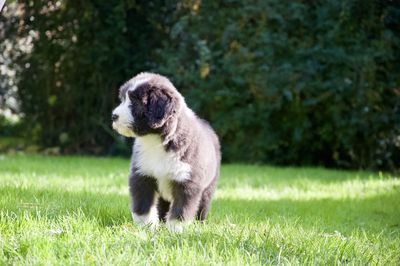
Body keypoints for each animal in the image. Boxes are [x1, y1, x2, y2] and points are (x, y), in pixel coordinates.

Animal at [111, 72, 220, 231]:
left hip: (209, 187)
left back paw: (200, 225)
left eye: (135, 101)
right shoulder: (142, 175)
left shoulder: (187, 182)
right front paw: (145, 228)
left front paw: (175, 230)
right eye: (123, 98)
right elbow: (143, 206)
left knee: (202, 208)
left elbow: (180, 210)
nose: (113, 116)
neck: (155, 140)